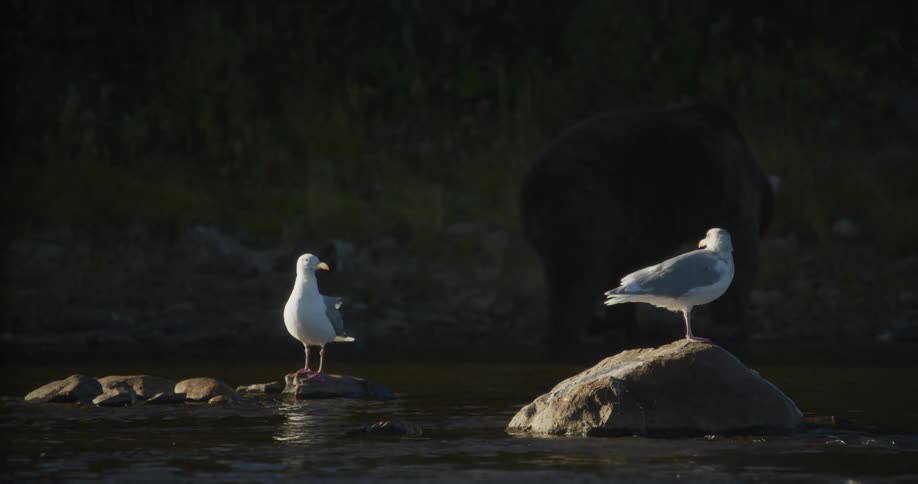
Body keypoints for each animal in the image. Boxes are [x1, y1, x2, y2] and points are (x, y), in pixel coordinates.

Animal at [519, 101, 774, 351]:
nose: (702, 243)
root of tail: (533, 187)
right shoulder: (732, 196)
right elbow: (744, 260)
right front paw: (725, 326)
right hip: (586, 219)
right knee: (577, 285)